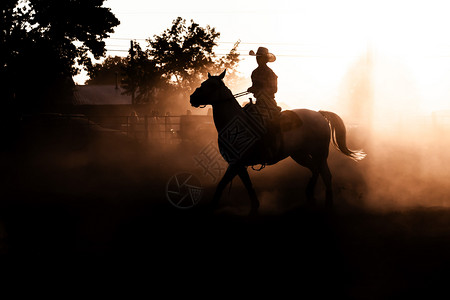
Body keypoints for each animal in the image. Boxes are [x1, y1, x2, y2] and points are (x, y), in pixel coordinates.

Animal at [190, 70, 366, 213]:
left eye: (212, 85)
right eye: (203, 83)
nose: (192, 98)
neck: (235, 125)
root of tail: (319, 113)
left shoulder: (236, 163)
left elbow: (222, 184)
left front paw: (212, 207)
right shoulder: (237, 164)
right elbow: (246, 184)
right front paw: (255, 206)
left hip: (320, 154)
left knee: (326, 175)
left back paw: (328, 204)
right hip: (299, 154)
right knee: (315, 170)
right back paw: (309, 195)